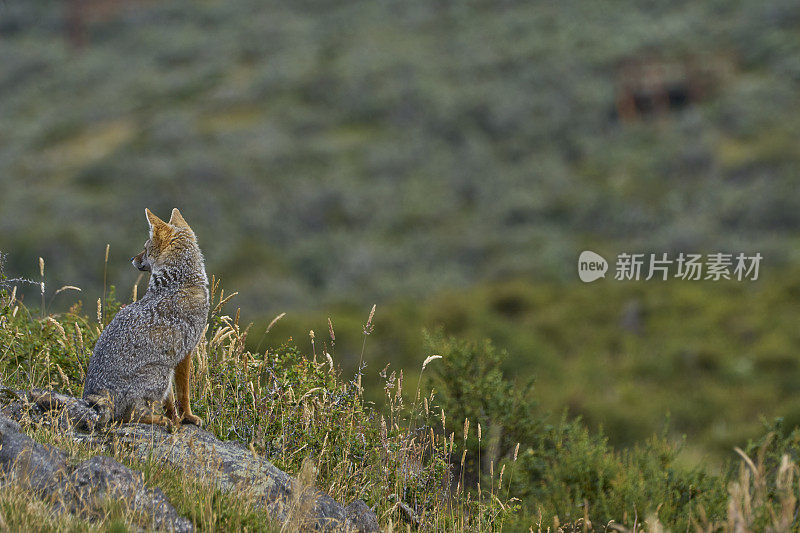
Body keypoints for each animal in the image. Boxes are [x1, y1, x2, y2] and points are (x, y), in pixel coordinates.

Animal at [82, 206, 208, 426]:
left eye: (145, 248)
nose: (132, 259)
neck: (178, 281)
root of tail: (99, 393)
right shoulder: (185, 353)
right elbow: (183, 394)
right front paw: (187, 417)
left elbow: (170, 401)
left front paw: (175, 418)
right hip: (162, 373)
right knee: (131, 416)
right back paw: (161, 421)